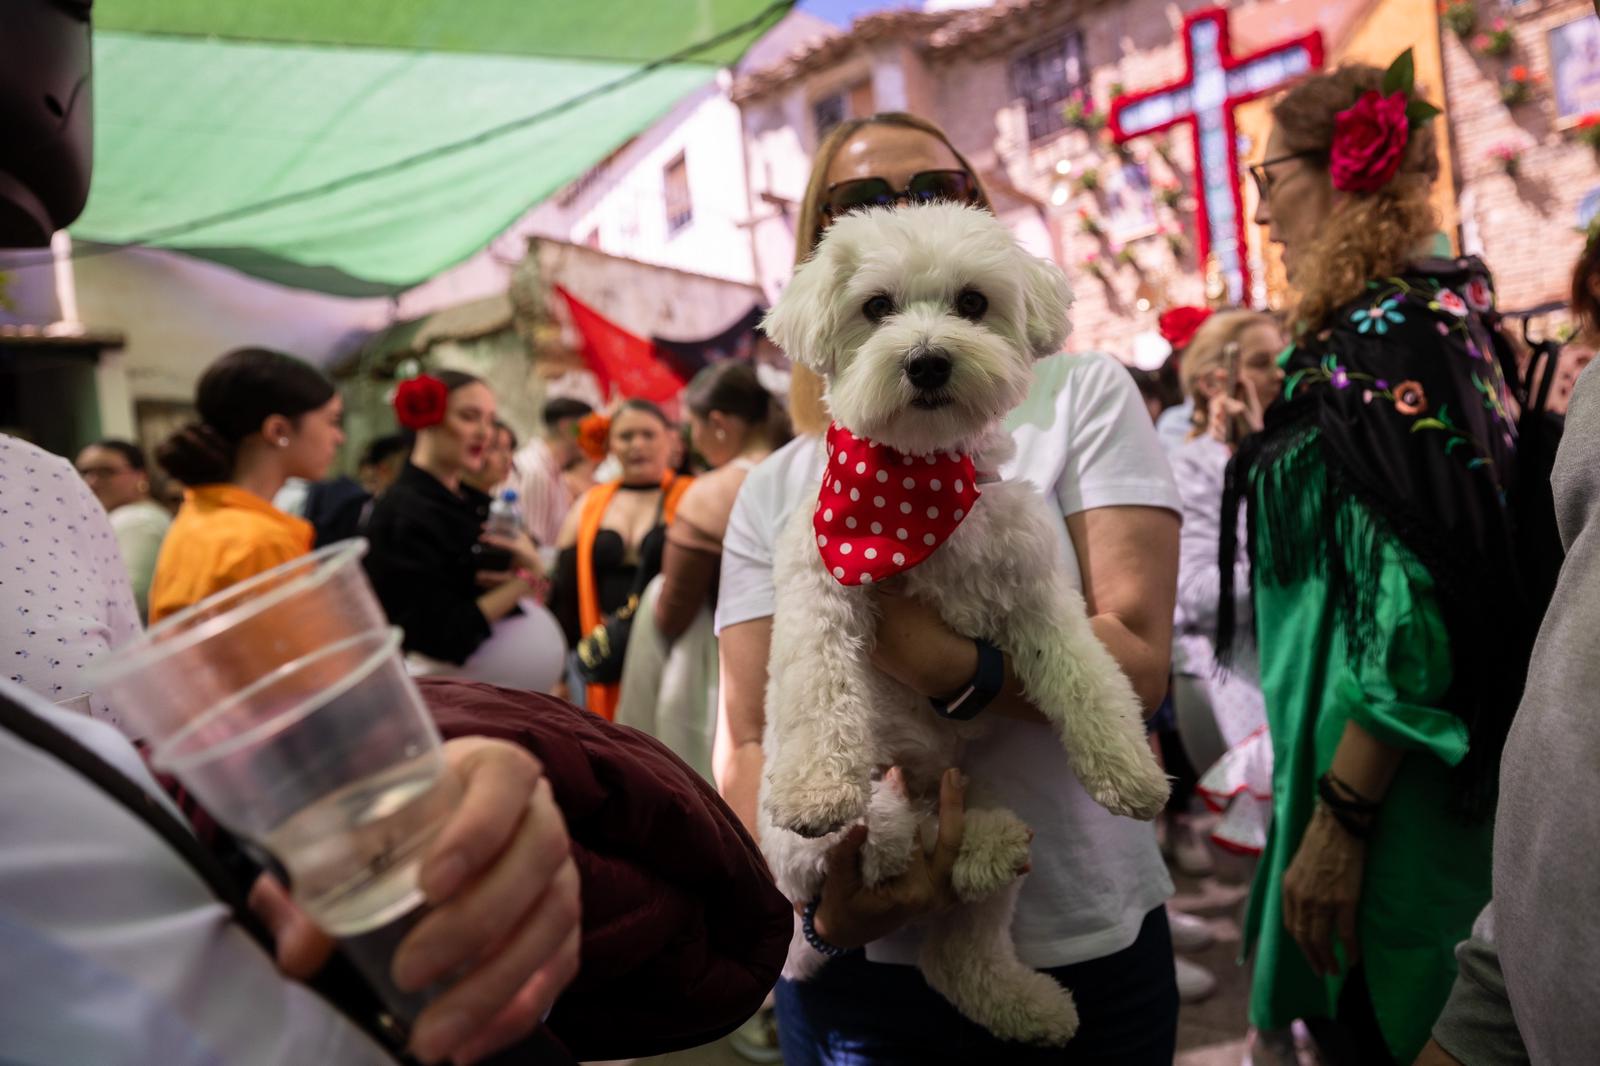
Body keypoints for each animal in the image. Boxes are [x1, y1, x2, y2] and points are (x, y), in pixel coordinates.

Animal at [755, 199, 1171, 1037]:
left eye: (972, 303)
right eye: (876, 306)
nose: (926, 361)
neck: (912, 490)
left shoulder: (1036, 591)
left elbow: (1091, 677)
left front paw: (1128, 769)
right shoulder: (819, 586)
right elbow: (816, 684)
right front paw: (815, 784)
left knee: (956, 947)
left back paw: (1016, 955)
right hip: (815, 843)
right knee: (887, 841)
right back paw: (967, 839)